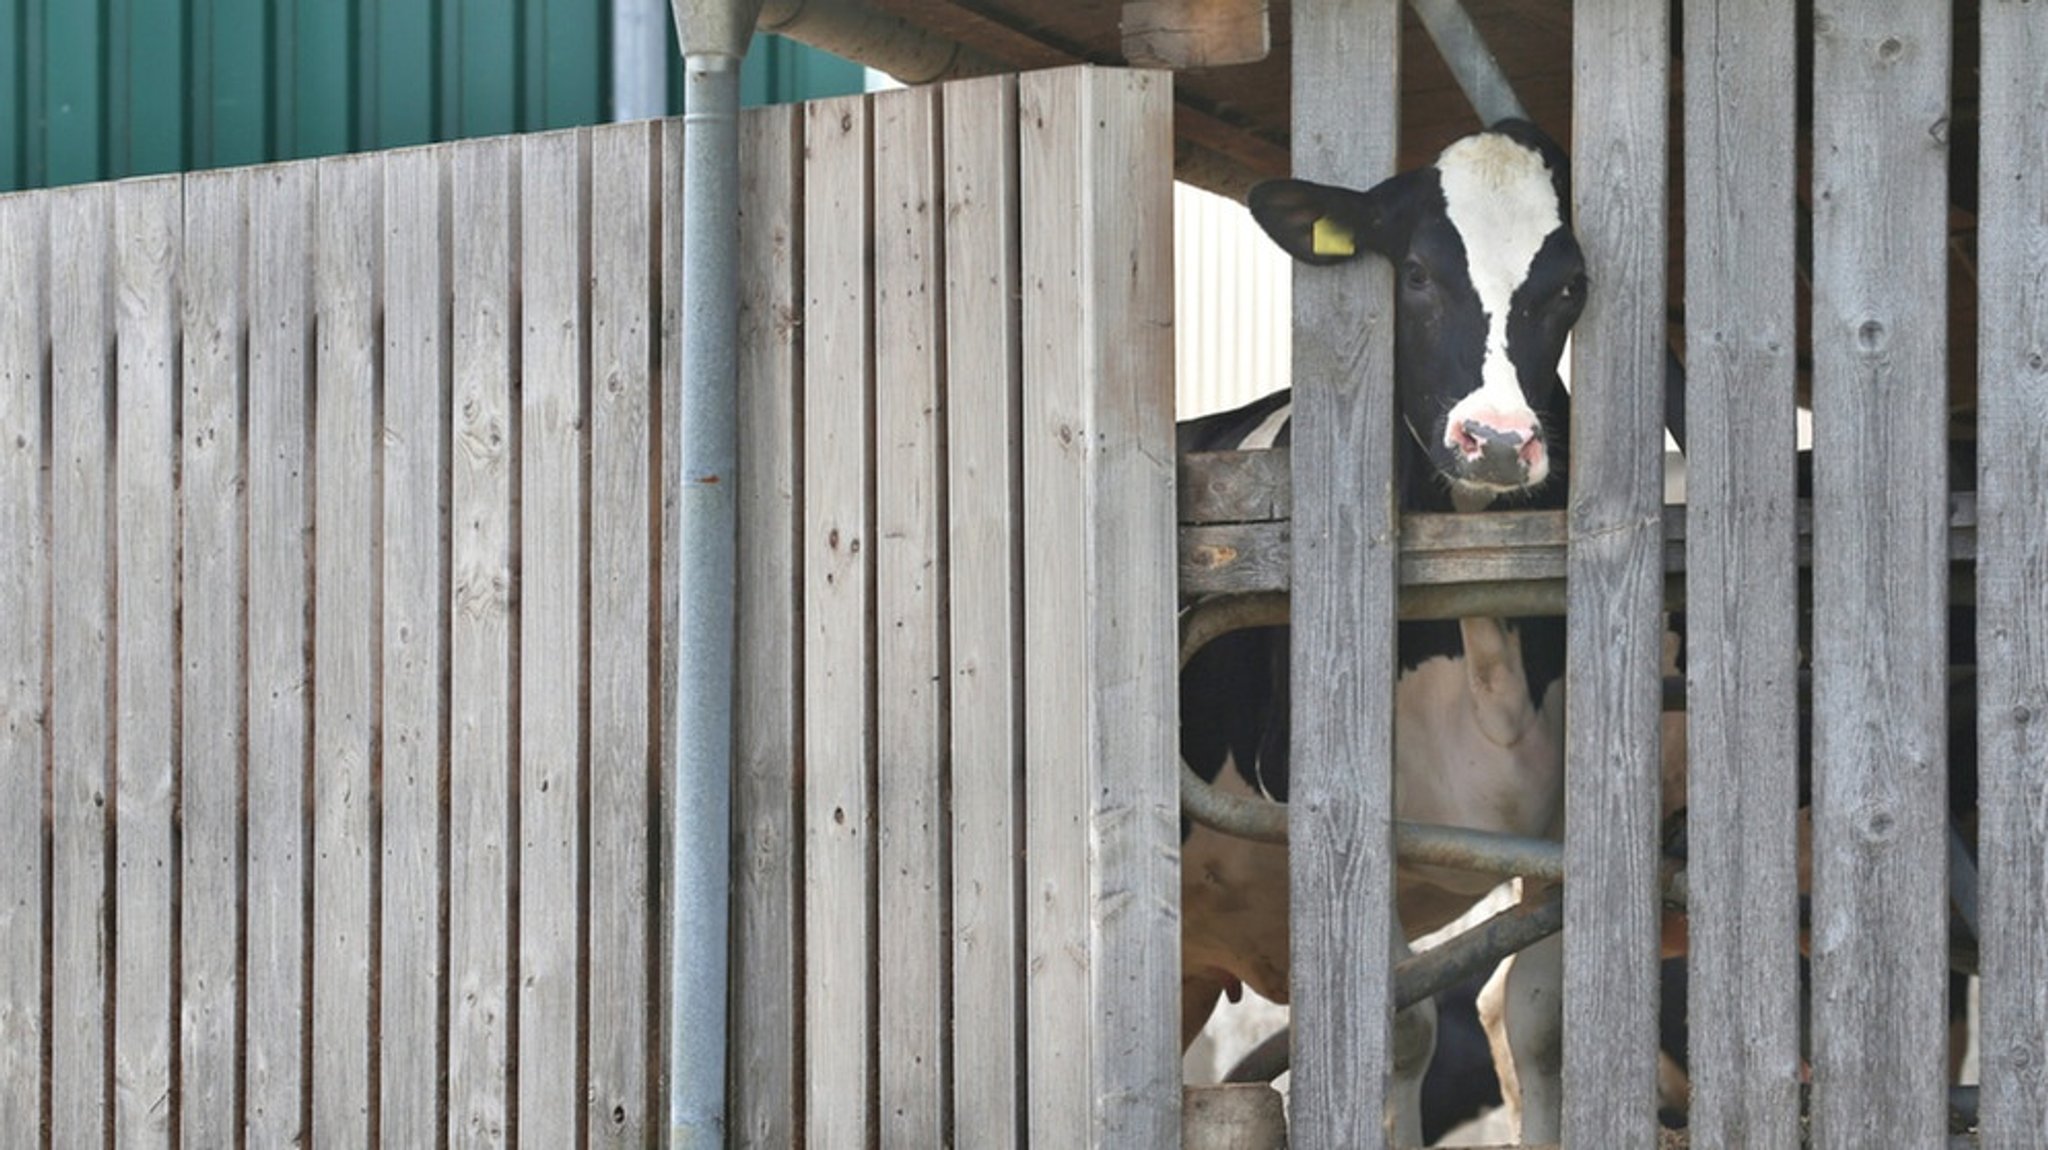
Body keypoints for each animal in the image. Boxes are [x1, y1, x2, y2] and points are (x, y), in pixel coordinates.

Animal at [1179, 120, 1589, 1137]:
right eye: (1415, 273)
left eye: (1569, 285)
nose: (1497, 440)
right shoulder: (1332, 804)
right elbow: (1399, 1029)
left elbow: (1540, 1020)